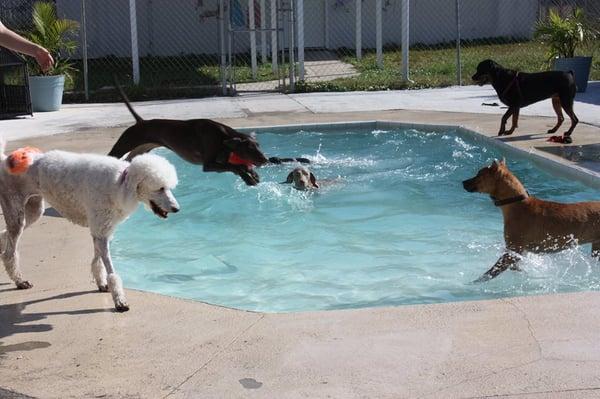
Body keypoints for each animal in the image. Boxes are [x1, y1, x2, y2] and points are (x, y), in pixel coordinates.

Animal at [464, 158, 600, 282]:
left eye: (479, 174)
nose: (463, 182)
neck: (517, 203)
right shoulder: (516, 253)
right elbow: (514, 268)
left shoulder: (513, 250)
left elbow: (490, 273)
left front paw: (475, 282)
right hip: (596, 248)